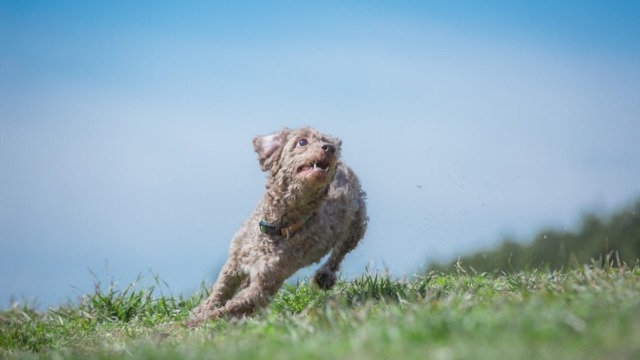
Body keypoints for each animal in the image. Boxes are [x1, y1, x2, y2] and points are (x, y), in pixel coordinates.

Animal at [186, 126, 364, 326]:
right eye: (302, 142)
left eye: (329, 144)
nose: (330, 148)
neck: (276, 225)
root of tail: (346, 167)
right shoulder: (234, 262)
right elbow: (220, 290)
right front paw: (201, 310)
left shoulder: (264, 285)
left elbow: (231, 307)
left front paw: (200, 321)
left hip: (356, 226)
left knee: (339, 253)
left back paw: (324, 276)